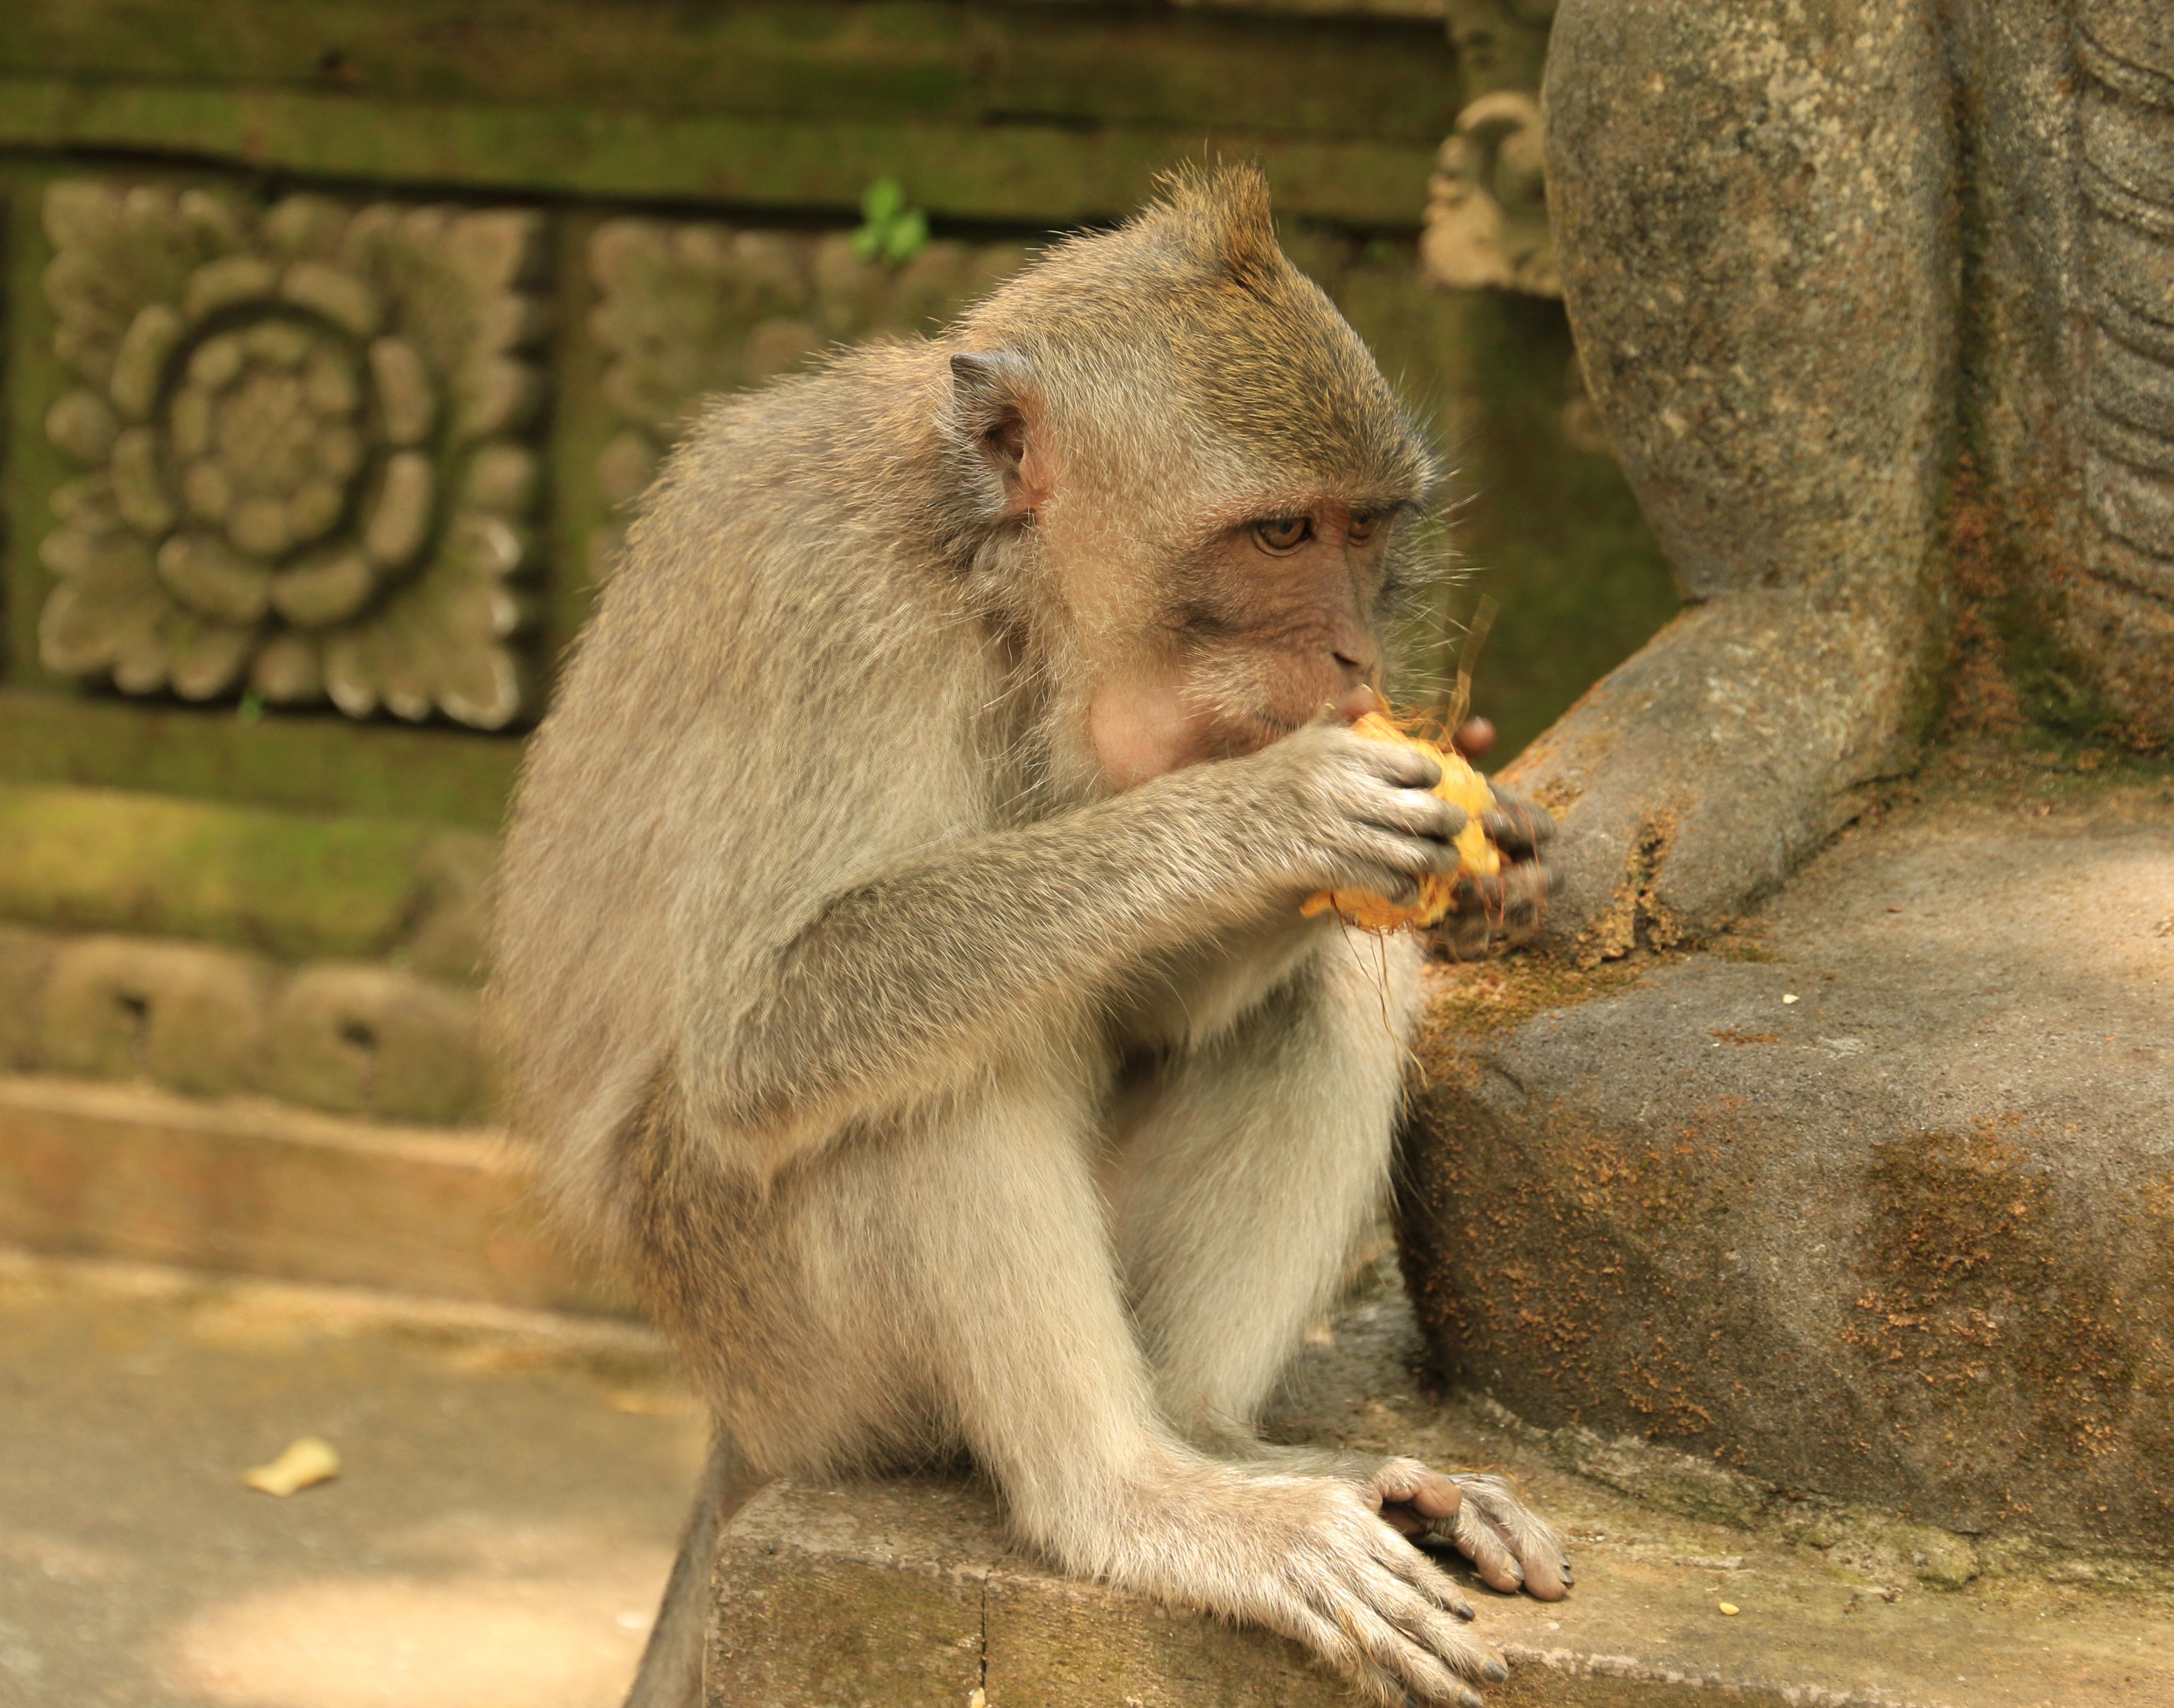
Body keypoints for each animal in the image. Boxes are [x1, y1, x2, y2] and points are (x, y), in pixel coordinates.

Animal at [489, 166, 1567, 1708]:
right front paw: (1271, 813)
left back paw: (1236, 1451)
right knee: (922, 1076)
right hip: (778, 1344)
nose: (1357, 658)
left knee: (1332, 984)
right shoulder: (840, 616)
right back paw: (1131, 1500)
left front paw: (1490, 843)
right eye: (1281, 536)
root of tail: (733, 1421)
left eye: (1366, 533)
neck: (997, 593)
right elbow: (760, 1036)